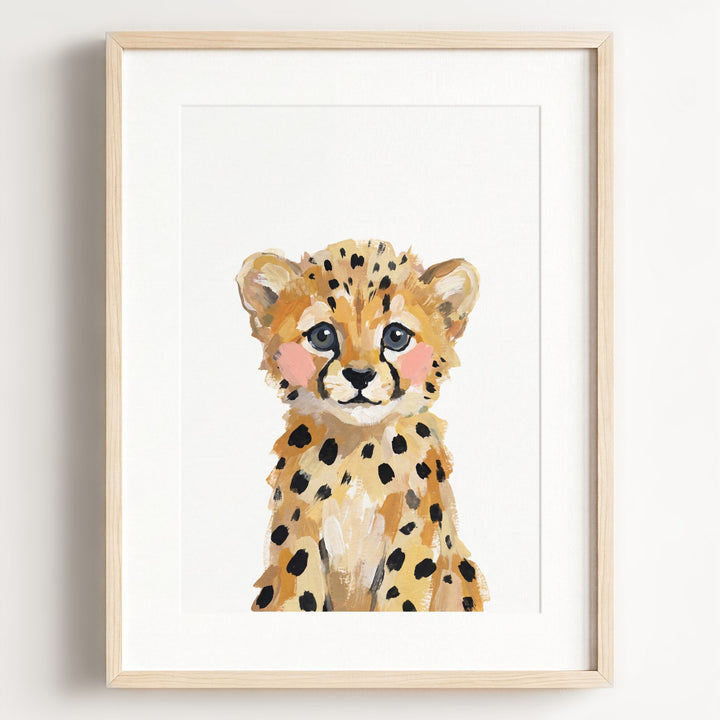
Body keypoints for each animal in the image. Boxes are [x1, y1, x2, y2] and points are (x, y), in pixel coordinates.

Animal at [235, 239, 490, 612]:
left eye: (396, 336)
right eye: (322, 335)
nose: (359, 375)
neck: (358, 449)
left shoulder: (413, 535)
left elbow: (402, 595)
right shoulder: (299, 532)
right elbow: (300, 589)